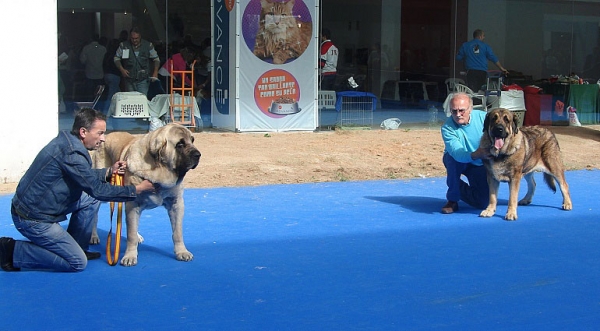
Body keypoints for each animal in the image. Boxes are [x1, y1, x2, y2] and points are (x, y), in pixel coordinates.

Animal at [91, 124, 199, 268]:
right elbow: (130, 234)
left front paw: (182, 251)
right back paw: (93, 236)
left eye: (192, 140)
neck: (159, 172)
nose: (198, 154)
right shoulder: (133, 205)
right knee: (94, 215)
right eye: (180, 144)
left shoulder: (176, 204)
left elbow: (177, 232)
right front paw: (129, 256)